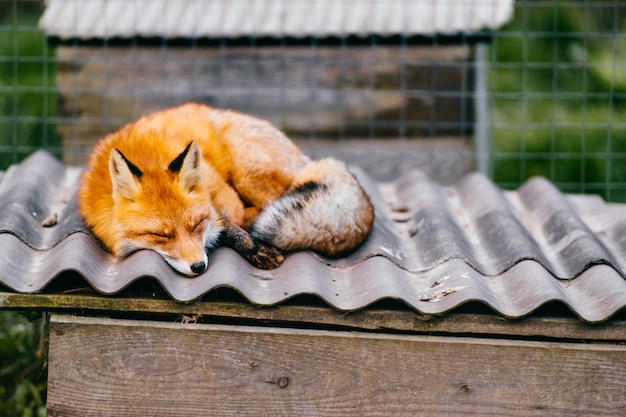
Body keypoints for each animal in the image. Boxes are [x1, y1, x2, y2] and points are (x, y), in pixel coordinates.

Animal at [76, 102, 372, 274]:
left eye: (195, 225)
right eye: (161, 236)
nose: (198, 266)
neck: (149, 157)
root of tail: (306, 158)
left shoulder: (223, 194)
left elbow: (227, 224)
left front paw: (254, 247)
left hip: (246, 170)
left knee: (274, 200)